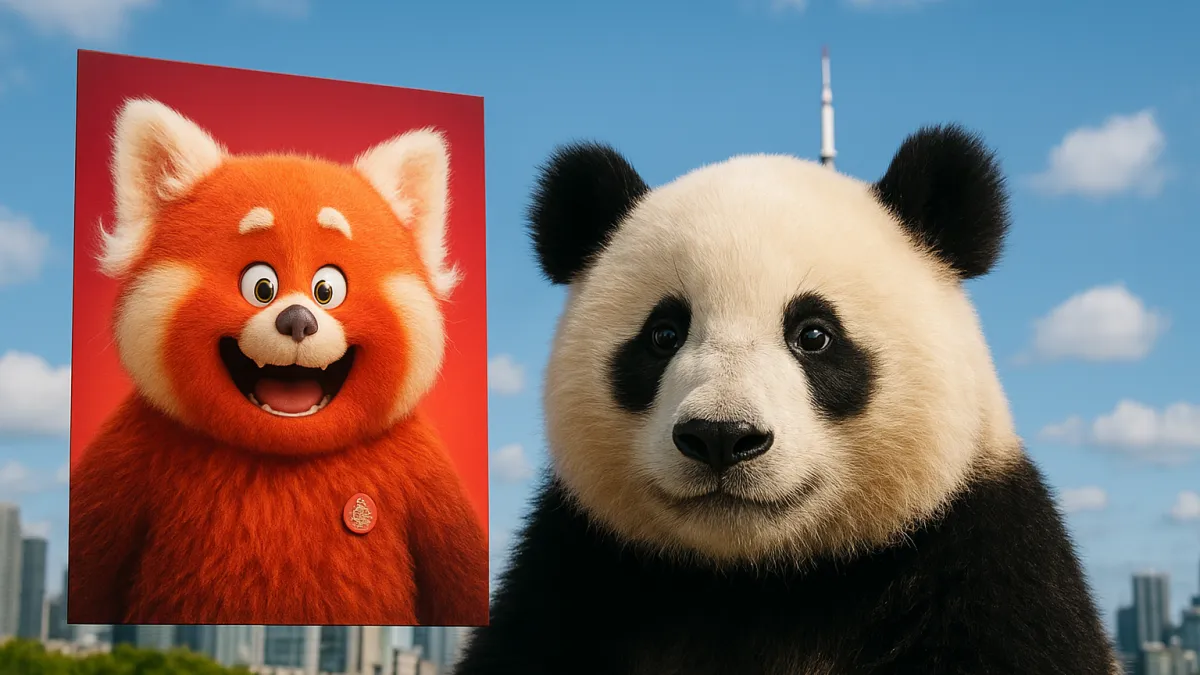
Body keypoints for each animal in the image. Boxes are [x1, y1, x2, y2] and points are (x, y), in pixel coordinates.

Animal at [456, 126, 1117, 675]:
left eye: (814, 334)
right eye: (664, 334)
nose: (721, 436)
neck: (759, 581)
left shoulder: (985, 561)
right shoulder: (575, 571)